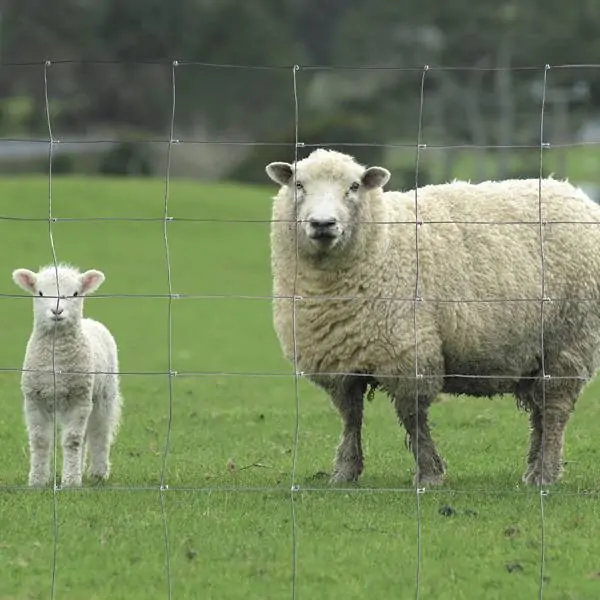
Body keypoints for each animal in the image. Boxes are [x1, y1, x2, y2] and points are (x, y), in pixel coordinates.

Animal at [12, 262, 122, 488]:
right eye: (40, 293)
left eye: (75, 293)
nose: (57, 310)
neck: (57, 362)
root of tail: (91, 321)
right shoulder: (34, 399)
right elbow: (40, 440)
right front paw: (37, 481)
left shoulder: (79, 398)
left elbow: (72, 440)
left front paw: (70, 482)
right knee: (85, 436)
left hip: (104, 394)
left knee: (99, 432)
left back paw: (98, 473)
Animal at [268, 149, 600, 488]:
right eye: (298, 184)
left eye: (354, 186)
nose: (323, 223)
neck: (383, 245)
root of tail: (574, 193)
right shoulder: (339, 362)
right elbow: (350, 417)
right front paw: (345, 472)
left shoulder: (409, 353)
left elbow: (412, 418)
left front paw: (429, 474)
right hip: (535, 355)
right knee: (540, 414)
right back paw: (534, 469)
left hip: (569, 341)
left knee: (555, 409)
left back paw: (544, 474)